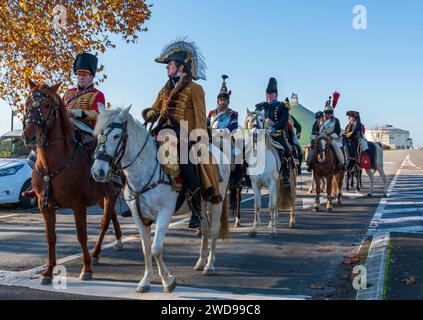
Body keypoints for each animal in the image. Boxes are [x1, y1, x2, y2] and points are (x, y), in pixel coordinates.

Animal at [21, 80, 122, 284]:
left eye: (47, 105)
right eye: (27, 103)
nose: (30, 136)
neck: (51, 165)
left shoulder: (78, 204)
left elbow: (81, 235)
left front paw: (86, 269)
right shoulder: (45, 205)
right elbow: (50, 237)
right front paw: (48, 272)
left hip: (112, 193)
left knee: (104, 222)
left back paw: (98, 252)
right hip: (103, 197)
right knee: (111, 216)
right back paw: (112, 245)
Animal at [91, 107, 230, 292]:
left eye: (116, 136)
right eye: (98, 134)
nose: (97, 171)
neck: (145, 170)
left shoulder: (164, 214)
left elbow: (156, 248)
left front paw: (168, 280)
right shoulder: (139, 217)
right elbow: (146, 249)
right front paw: (145, 281)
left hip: (216, 202)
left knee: (213, 230)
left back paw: (209, 265)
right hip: (201, 205)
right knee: (205, 229)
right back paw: (200, 261)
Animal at [243, 110, 296, 238]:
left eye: (262, 119)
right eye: (249, 120)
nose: (255, 134)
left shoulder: (271, 184)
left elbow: (271, 205)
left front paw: (272, 231)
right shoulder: (255, 185)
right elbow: (257, 206)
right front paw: (254, 229)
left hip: (289, 183)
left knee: (291, 200)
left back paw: (291, 222)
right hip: (278, 184)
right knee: (277, 200)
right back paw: (273, 222)